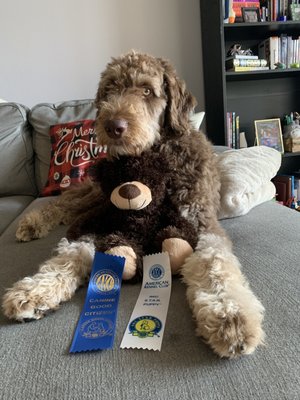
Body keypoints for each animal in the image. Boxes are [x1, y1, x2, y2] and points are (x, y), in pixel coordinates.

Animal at [2, 50, 264, 360]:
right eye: (109, 90)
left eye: (147, 90)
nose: (113, 126)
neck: (157, 154)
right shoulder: (104, 220)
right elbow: (71, 252)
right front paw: (34, 290)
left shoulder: (201, 224)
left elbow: (215, 265)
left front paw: (231, 318)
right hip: (96, 192)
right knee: (67, 201)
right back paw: (33, 222)